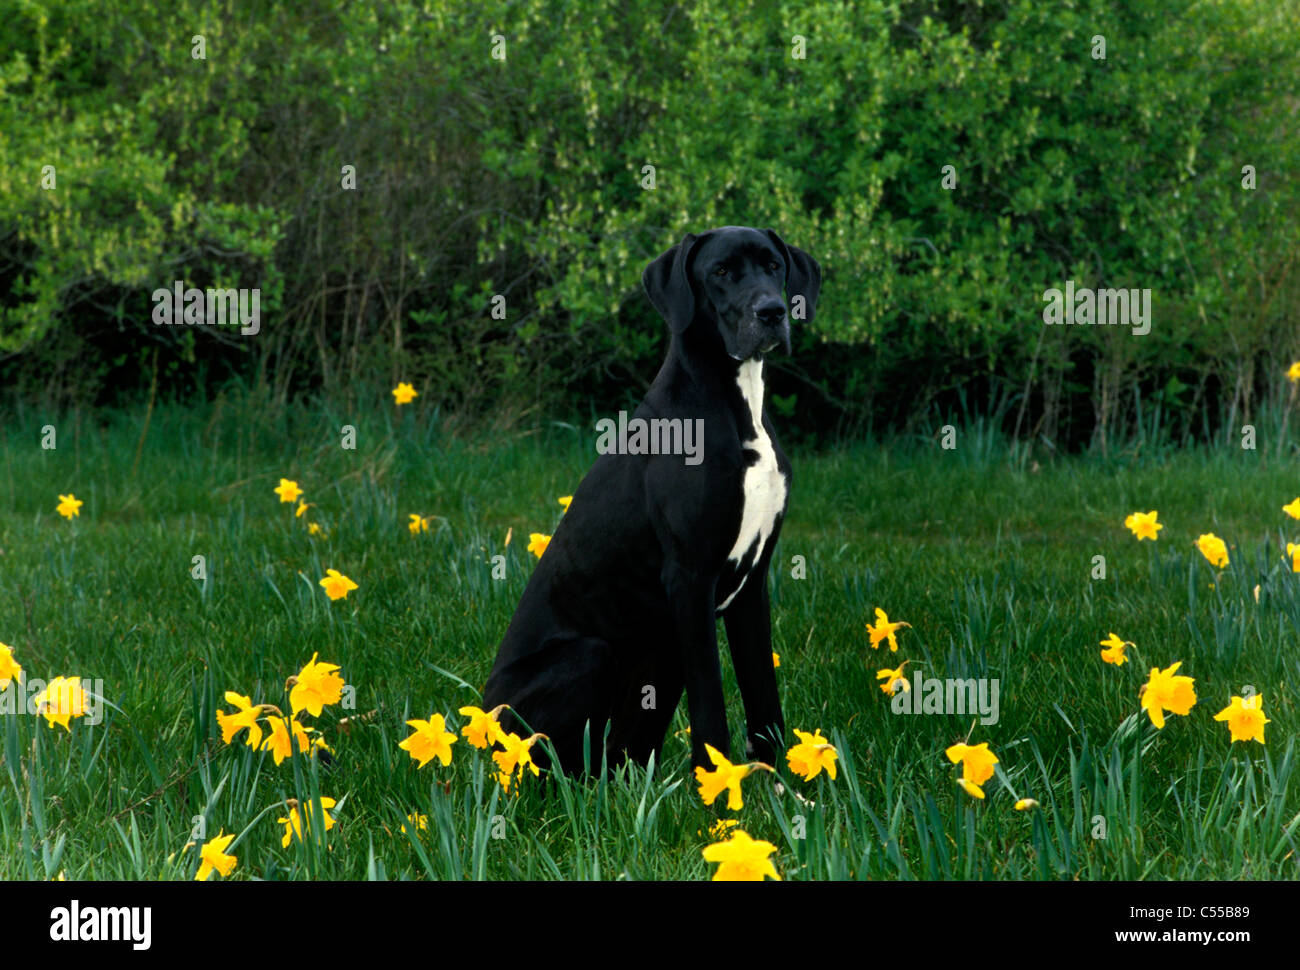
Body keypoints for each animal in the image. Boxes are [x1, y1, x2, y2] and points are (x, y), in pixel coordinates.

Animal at [483, 224, 816, 769]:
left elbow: (763, 696)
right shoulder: (690, 577)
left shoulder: (752, 583)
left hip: (661, 663)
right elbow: (711, 707)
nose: (771, 311)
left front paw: (777, 779)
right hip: (589, 655)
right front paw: (716, 782)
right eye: (720, 271)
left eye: (774, 266)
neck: (738, 405)